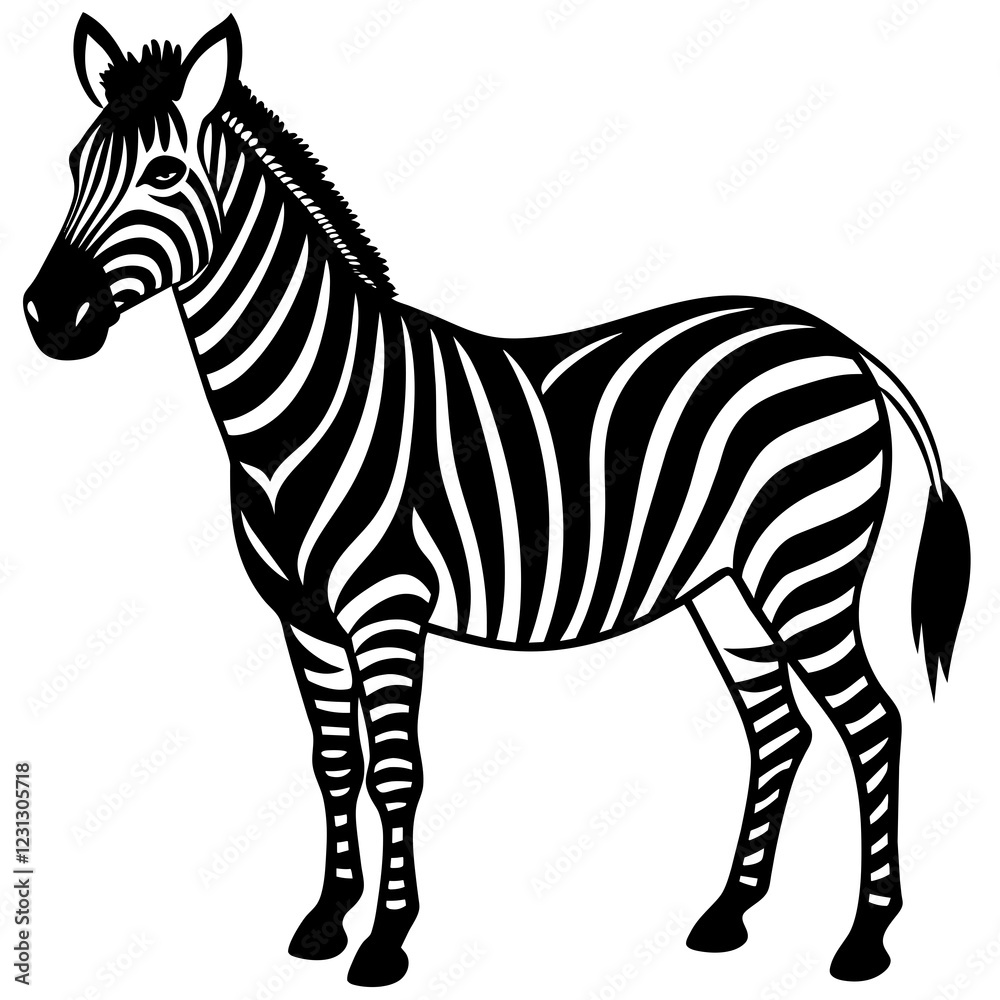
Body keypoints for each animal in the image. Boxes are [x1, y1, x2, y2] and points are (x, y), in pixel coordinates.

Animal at [23, 14, 971, 987]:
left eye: (165, 175)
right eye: (72, 164)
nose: (48, 317)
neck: (302, 405)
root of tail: (837, 342)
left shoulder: (388, 609)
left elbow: (395, 772)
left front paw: (386, 941)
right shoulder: (304, 620)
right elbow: (333, 765)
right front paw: (326, 920)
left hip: (805, 567)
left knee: (873, 723)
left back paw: (865, 938)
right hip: (728, 587)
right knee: (779, 729)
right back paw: (728, 915)